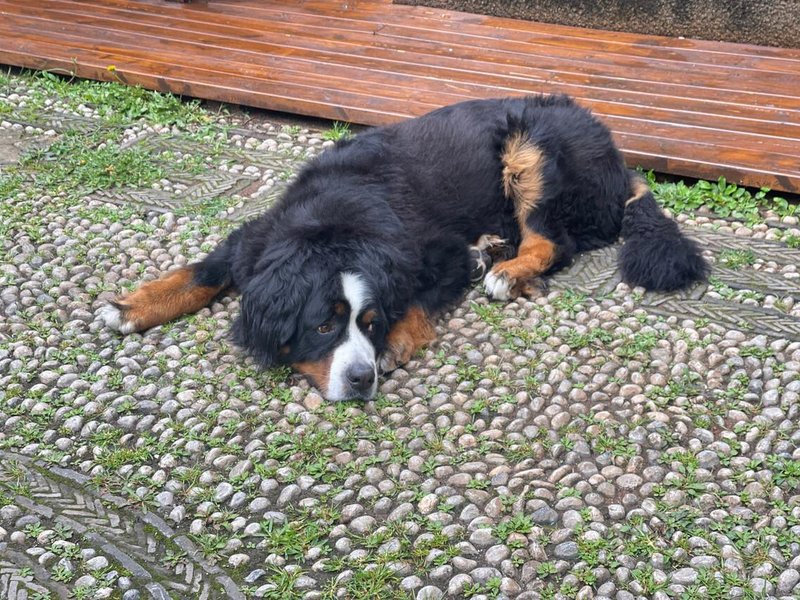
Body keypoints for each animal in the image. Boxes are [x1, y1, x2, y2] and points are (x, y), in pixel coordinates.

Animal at [99, 95, 708, 400]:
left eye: (368, 323)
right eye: (324, 325)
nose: (361, 377)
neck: (336, 217)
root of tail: (616, 156)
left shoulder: (436, 253)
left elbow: (416, 298)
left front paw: (395, 342)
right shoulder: (255, 239)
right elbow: (200, 272)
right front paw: (133, 305)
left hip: (532, 148)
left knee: (553, 242)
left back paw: (506, 271)